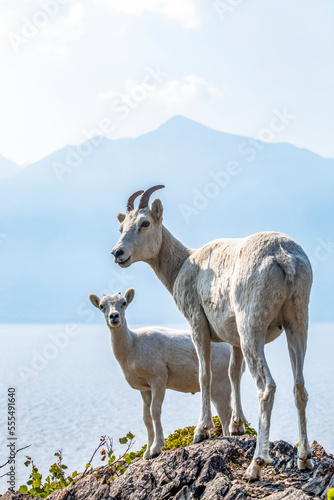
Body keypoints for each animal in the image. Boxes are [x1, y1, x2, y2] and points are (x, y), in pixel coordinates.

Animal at [90, 288, 234, 458]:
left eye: (123, 303)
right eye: (101, 306)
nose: (114, 316)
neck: (132, 346)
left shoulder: (158, 379)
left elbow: (155, 411)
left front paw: (156, 449)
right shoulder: (144, 388)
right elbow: (146, 418)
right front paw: (146, 453)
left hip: (221, 385)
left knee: (226, 413)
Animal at [111, 186, 314, 478]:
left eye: (144, 223)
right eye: (121, 227)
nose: (118, 254)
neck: (183, 265)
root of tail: (282, 256)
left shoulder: (197, 325)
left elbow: (204, 374)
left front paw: (202, 431)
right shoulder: (234, 340)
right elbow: (232, 375)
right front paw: (237, 427)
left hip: (252, 328)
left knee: (267, 387)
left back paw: (255, 465)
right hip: (297, 324)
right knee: (300, 387)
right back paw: (304, 459)